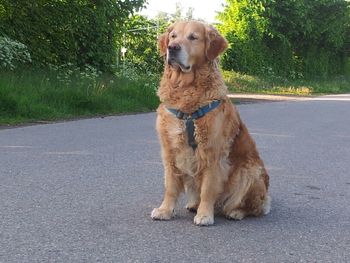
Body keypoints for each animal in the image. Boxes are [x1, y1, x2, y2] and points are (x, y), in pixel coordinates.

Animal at [150, 21, 270, 227]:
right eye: (173, 36)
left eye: (193, 37)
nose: (172, 48)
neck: (186, 91)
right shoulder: (170, 151)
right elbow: (170, 186)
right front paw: (165, 210)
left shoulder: (212, 153)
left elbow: (208, 188)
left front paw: (205, 215)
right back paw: (193, 204)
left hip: (250, 171)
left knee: (253, 207)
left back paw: (235, 212)